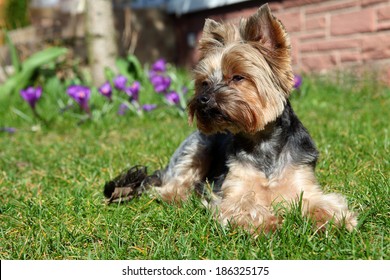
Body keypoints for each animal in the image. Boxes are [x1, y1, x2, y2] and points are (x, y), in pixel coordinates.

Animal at [103, 3, 356, 233]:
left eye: (238, 77)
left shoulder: (302, 180)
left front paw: (335, 220)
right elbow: (242, 203)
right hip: (197, 147)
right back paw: (180, 196)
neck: (262, 141)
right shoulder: (231, 189)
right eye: (204, 82)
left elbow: (318, 201)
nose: (202, 99)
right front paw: (266, 223)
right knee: (169, 186)